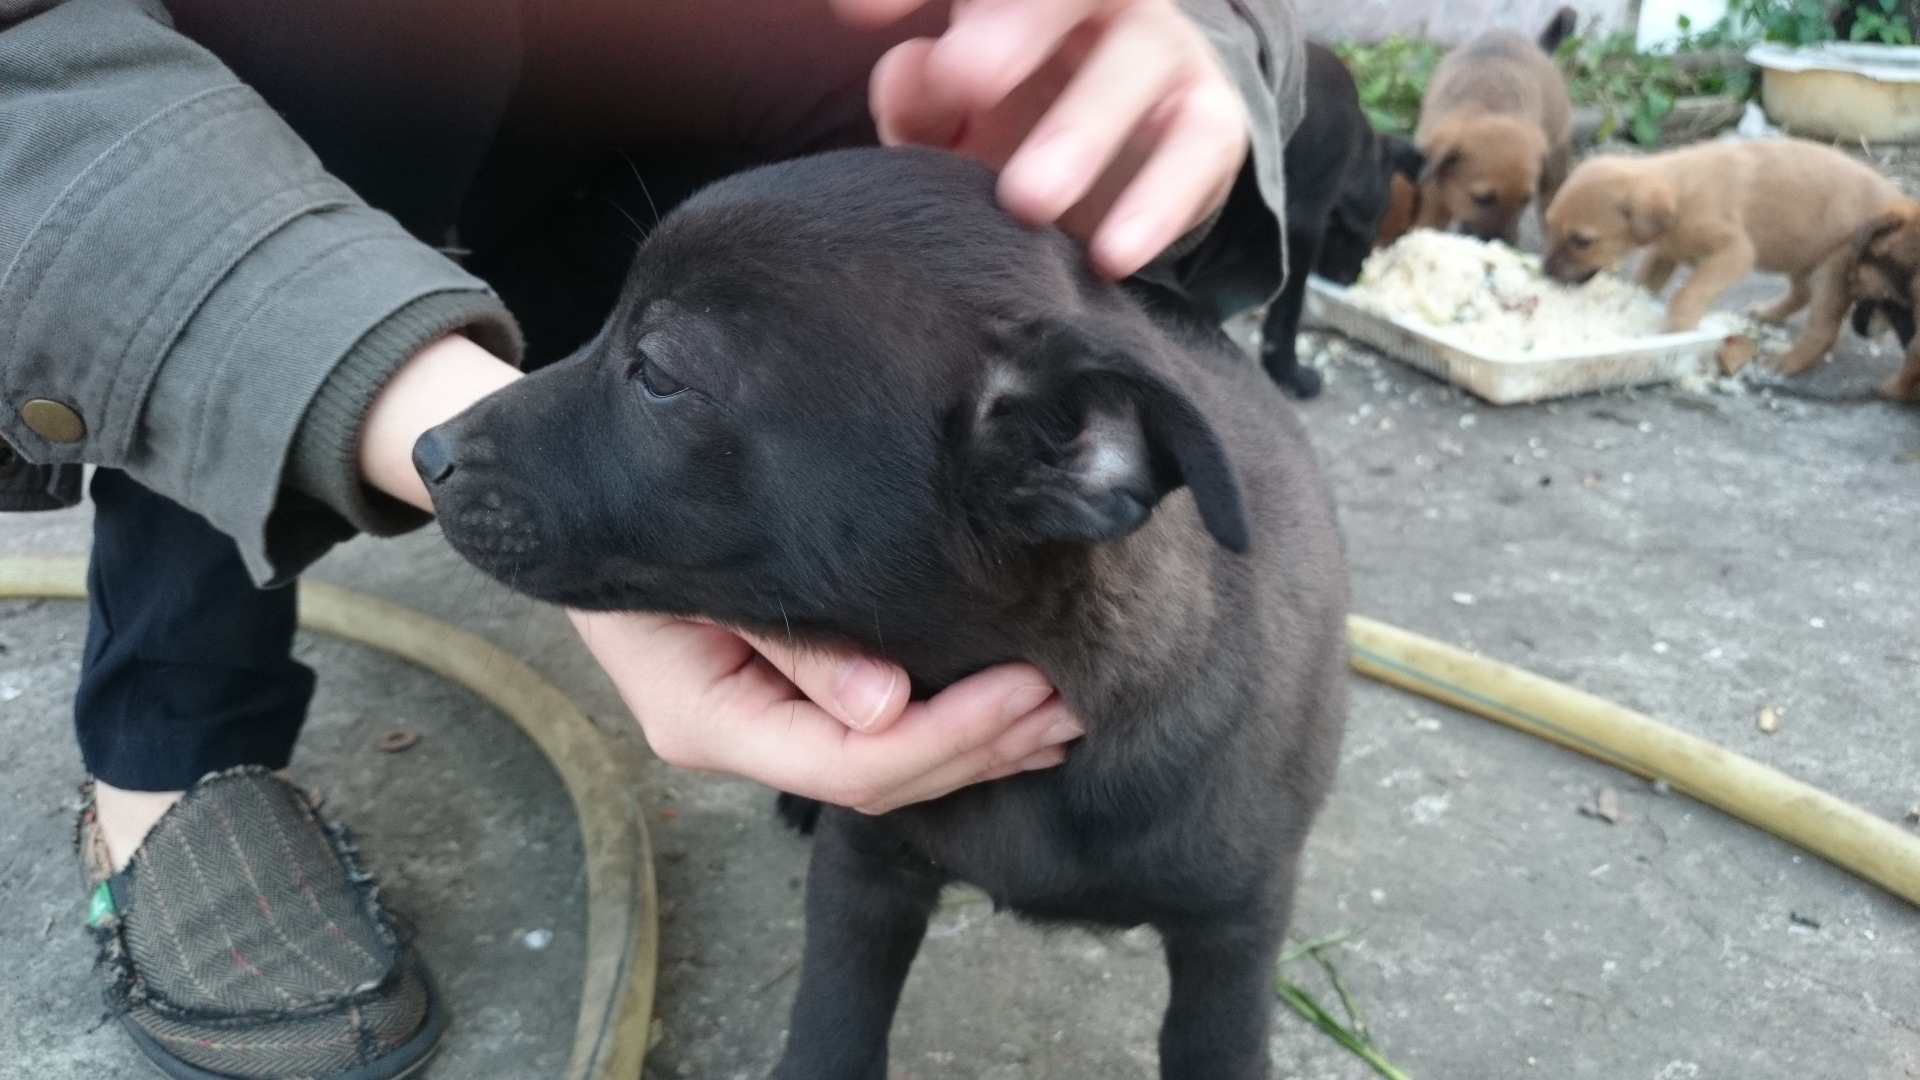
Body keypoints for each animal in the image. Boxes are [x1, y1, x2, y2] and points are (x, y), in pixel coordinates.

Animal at [1412, 9, 1576, 243]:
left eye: (1525, 199)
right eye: (1482, 198)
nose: (1504, 242)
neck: (1486, 108)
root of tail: (1536, 47)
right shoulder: (1434, 194)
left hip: (1555, 161)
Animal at [1542, 139, 1906, 376]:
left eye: (1582, 241)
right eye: (1549, 227)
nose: (1545, 274)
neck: (1682, 191)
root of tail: (1899, 203)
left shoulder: (1734, 252)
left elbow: (1690, 291)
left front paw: (1678, 327)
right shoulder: (1664, 252)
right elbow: (1643, 281)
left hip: (1834, 268)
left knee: (1823, 329)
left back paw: (1789, 361)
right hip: (1801, 254)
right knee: (1801, 293)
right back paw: (1768, 312)